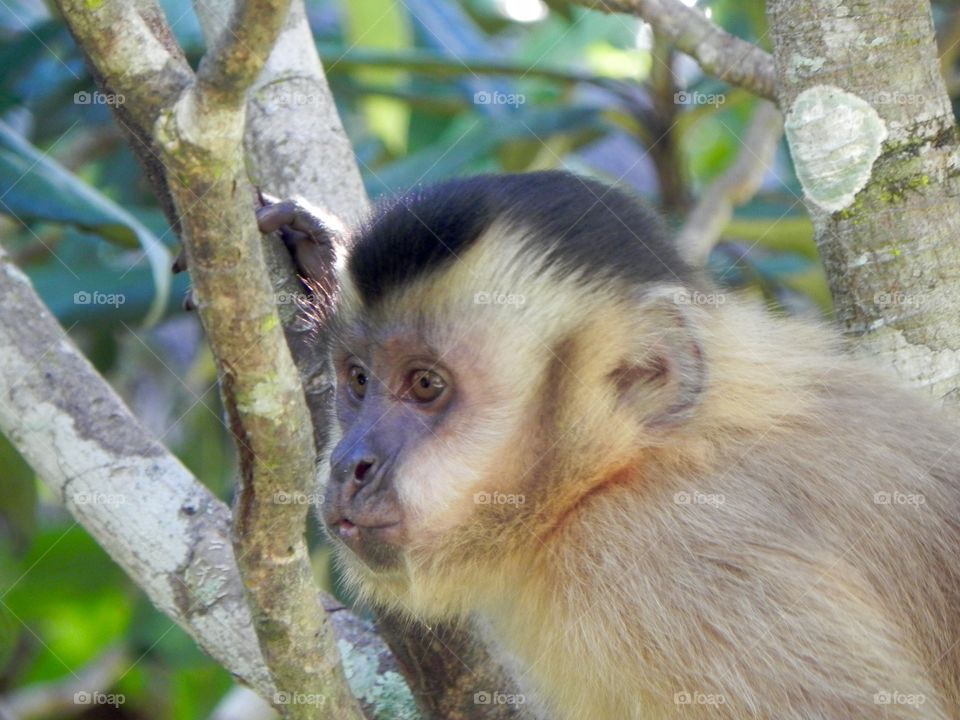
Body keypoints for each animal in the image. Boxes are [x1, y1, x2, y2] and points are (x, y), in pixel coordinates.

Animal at [257, 170, 960, 720]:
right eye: (358, 380)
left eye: (426, 385)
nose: (350, 463)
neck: (622, 468)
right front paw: (317, 254)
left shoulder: (660, 561)